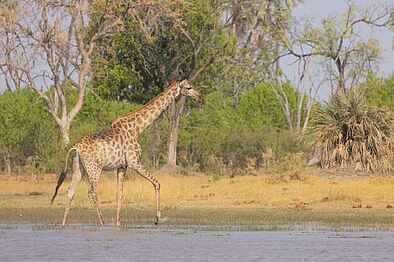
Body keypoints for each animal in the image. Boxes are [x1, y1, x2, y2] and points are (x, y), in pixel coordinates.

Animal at [50, 79, 202, 225]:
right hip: (94, 168)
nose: (200, 98)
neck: (137, 128)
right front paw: (157, 219)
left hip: (78, 167)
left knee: (71, 191)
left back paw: (64, 223)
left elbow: (120, 193)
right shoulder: (134, 162)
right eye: (188, 87)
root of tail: (76, 147)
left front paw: (118, 222)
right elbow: (157, 183)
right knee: (91, 192)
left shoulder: (122, 166)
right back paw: (102, 222)